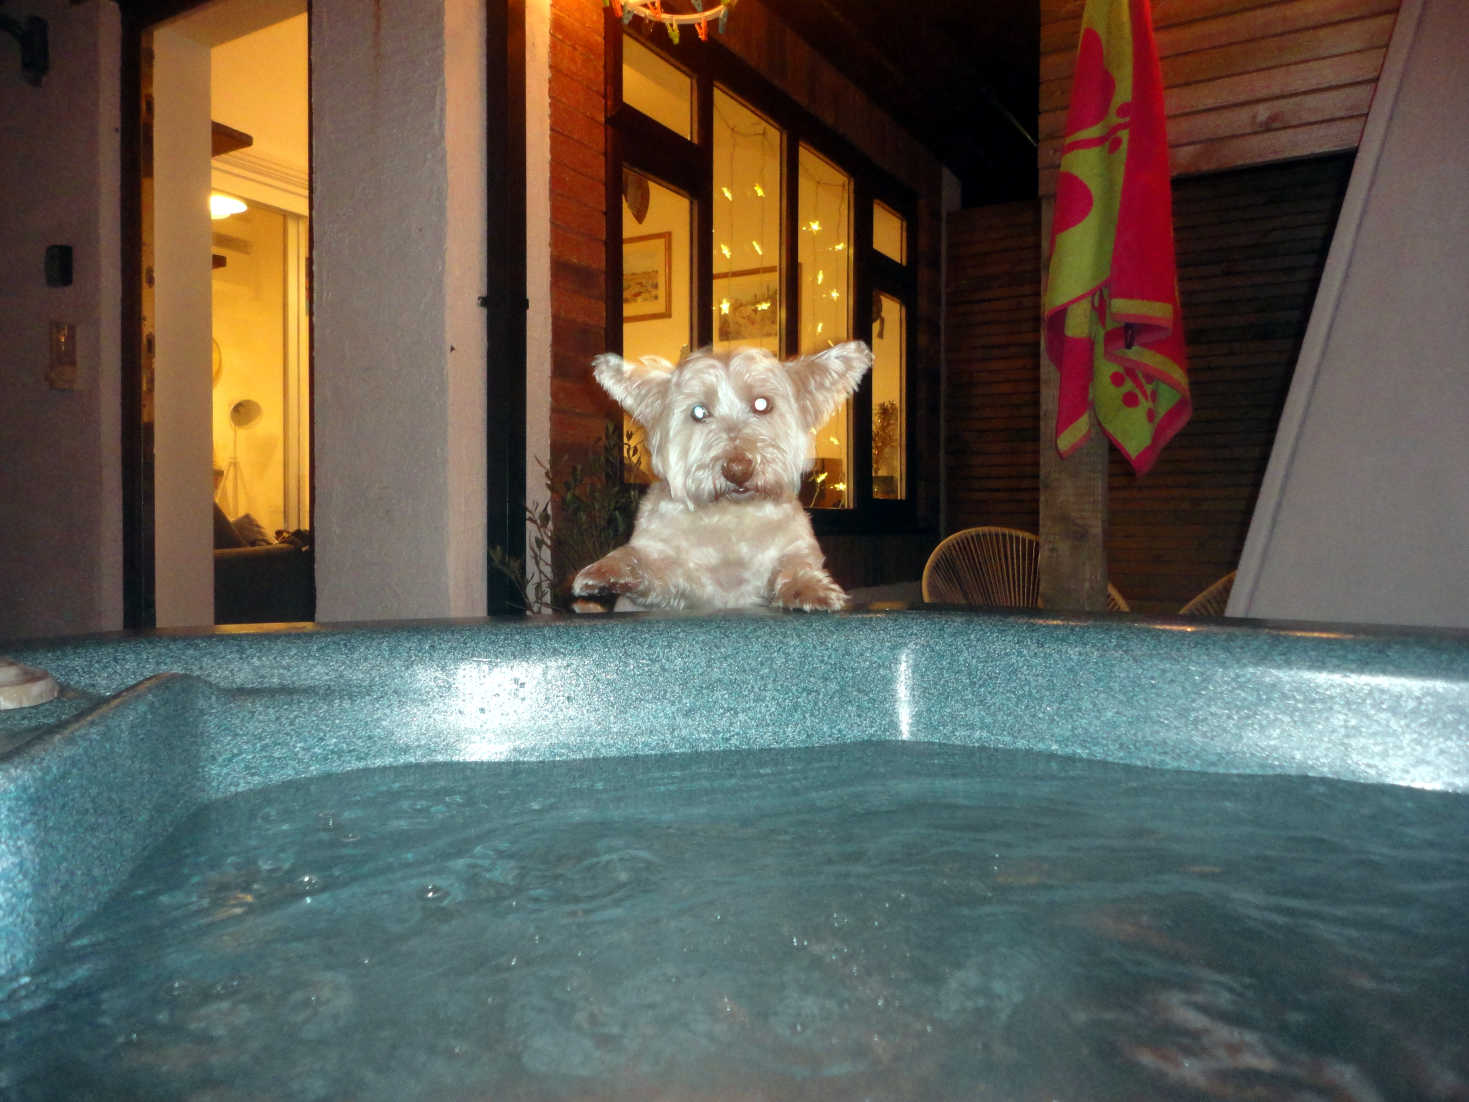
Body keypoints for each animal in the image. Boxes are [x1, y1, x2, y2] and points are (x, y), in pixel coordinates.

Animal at [569, 343, 869, 614]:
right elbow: (644, 563)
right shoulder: (677, 580)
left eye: (762, 404)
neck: (729, 514)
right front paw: (606, 570)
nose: (738, 469)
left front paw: (809, 588)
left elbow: (796, 565)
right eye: (699, 412)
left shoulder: (794, 545)